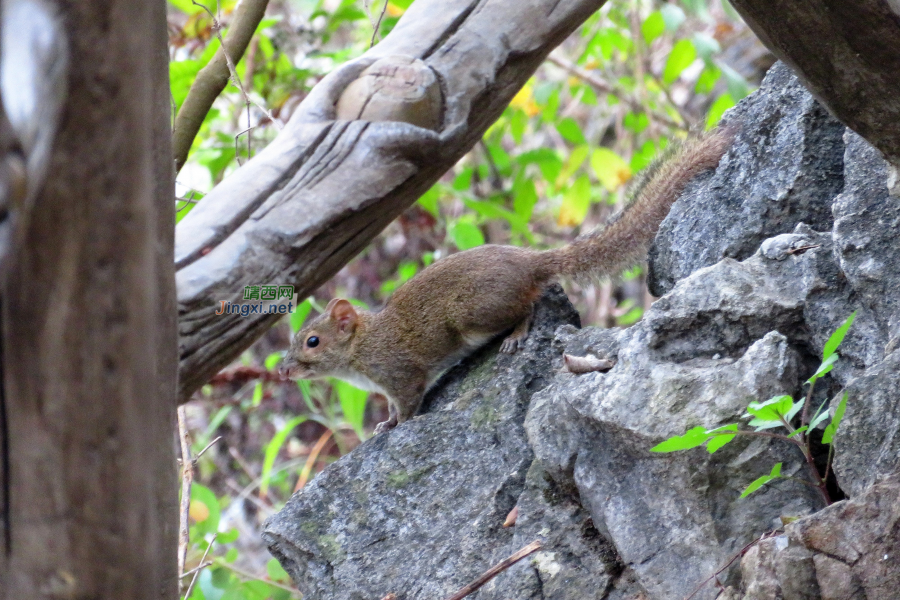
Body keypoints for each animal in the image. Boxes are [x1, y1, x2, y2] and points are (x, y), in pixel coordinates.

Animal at [284, 129, 736, 434]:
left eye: (312, 341)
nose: (285, 371)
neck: (362, 348)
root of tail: (529, 262)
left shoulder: (401, 374)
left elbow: (409, 402)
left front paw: (398, 426)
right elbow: (393, 407)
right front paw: (385, 424)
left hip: (473, 313)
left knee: (529, 304)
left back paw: (517, 335)